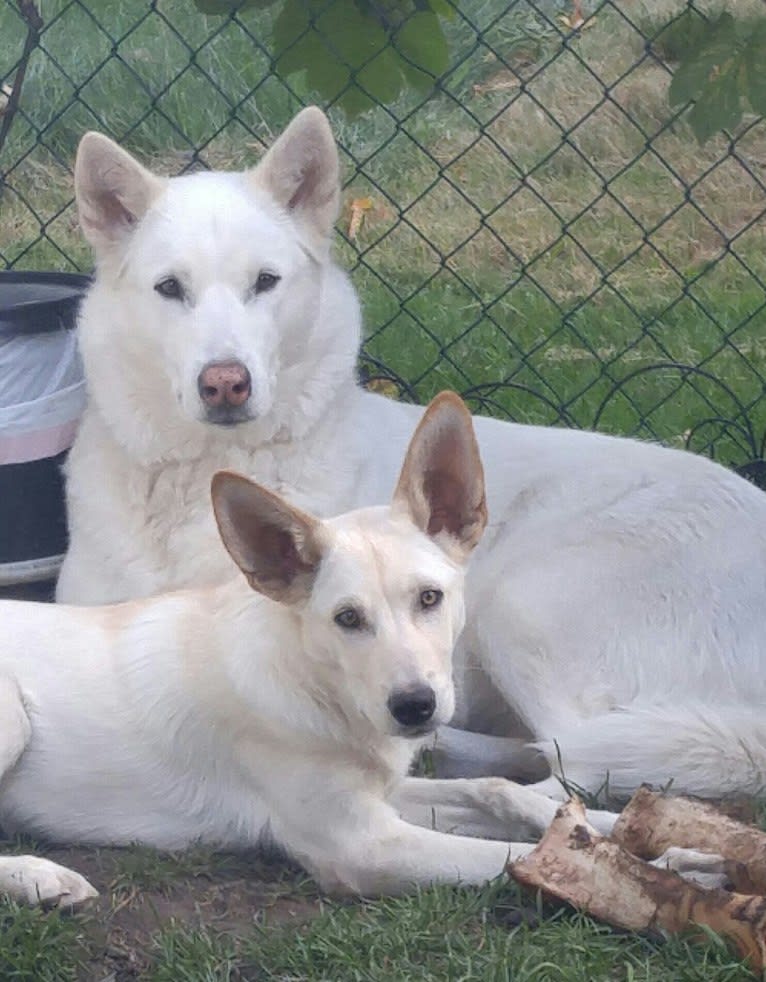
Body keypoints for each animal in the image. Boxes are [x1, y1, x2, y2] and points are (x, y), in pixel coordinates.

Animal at [60, 107, 766, 804]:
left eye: (264, 282)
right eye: (169, 288)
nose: (225, 383)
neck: (202, 479)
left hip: (521, 602)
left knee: (572, 767)